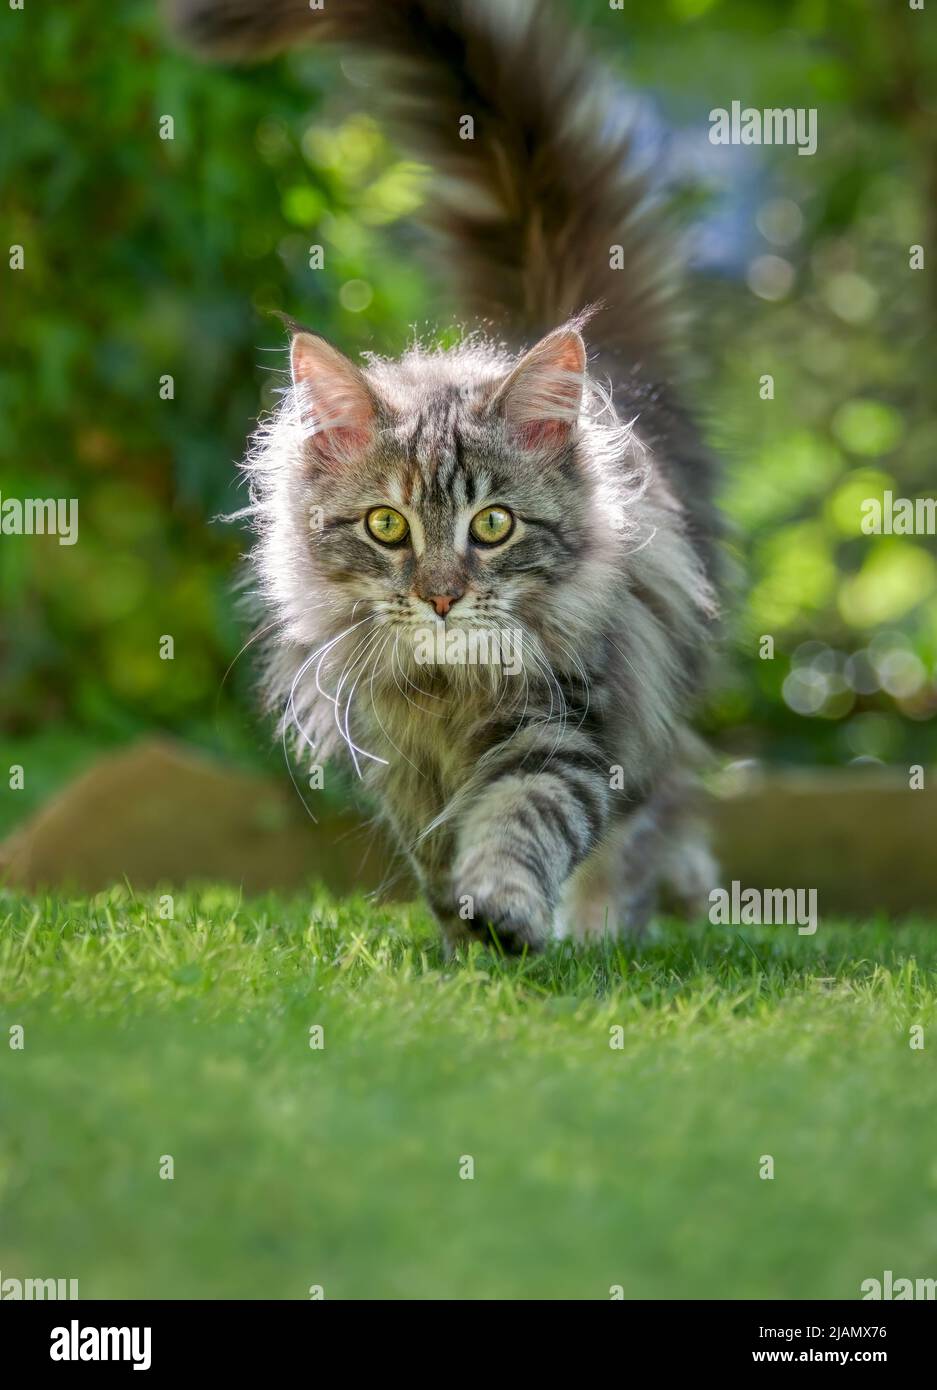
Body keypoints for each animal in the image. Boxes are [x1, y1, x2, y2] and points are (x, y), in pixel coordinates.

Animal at [171, 0, 717, 956]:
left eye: (492, 525)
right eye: (387, 527)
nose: (439, 596)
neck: (448, 687)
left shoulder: (567, 723)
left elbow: (522, 816)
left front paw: (504, 909)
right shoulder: (394, 755)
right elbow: (432, 850)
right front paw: (462, 936)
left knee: (652, 813)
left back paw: (614, 924)